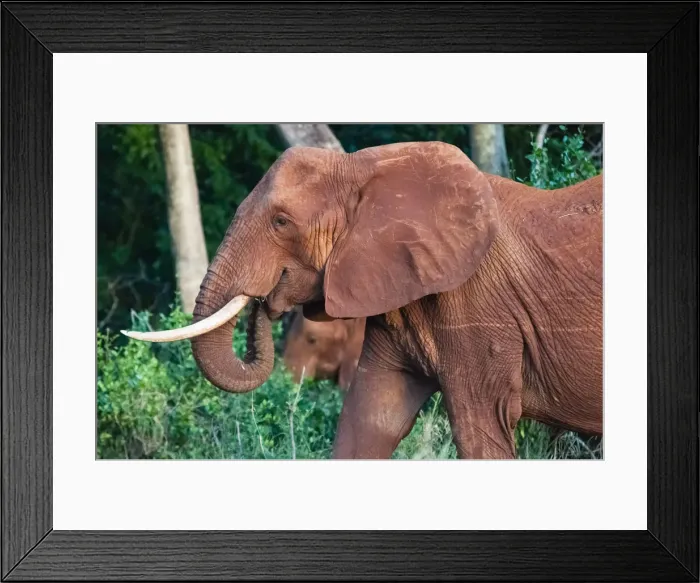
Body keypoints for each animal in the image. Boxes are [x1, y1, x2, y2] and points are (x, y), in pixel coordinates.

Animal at [124, 141, 602, 460]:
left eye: (281, 222)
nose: (266, 302)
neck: (363, 167)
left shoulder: (479, 308)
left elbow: (478, 429)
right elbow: (370, 419)